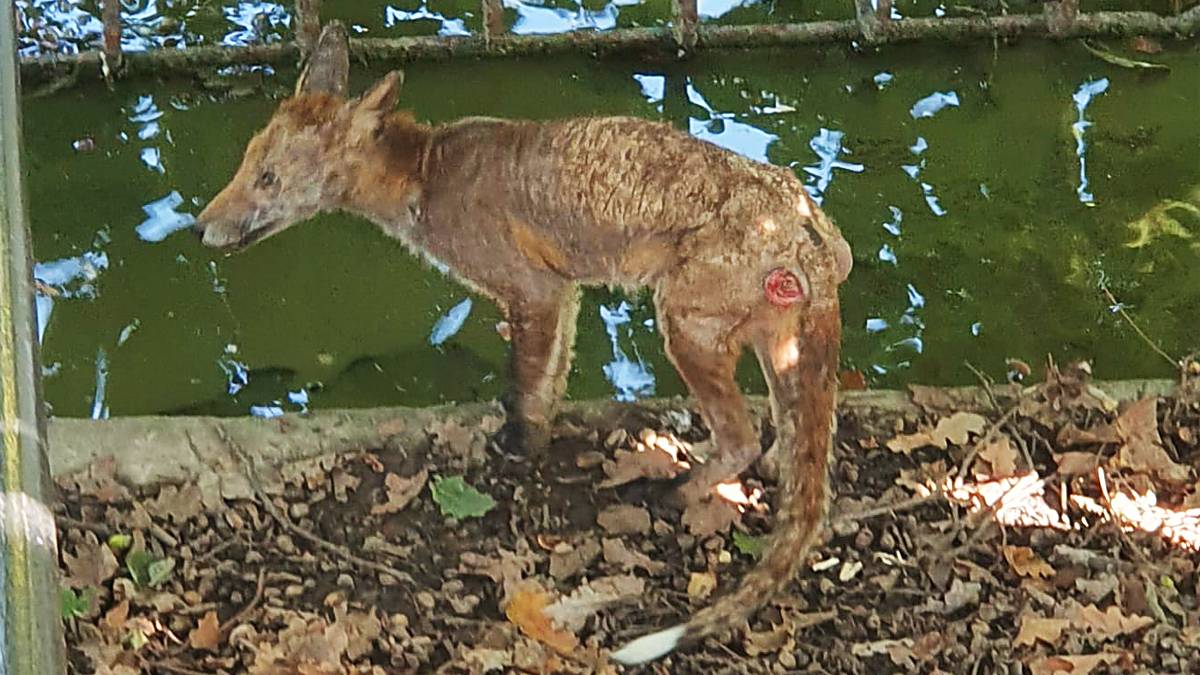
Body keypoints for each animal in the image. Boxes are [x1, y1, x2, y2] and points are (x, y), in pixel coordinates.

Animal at [196, 21, 854, 662]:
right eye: (245, 164)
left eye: (268, 179)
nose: (199, 227)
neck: (426, 176)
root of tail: (807, 230)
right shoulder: (562, 293)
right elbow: (549, 379)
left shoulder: (533, 290)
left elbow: (527, 386)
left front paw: (520, 449)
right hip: (772, 347)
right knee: (788, 439)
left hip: (684, 328)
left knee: (742, 437)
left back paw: (679, 492)